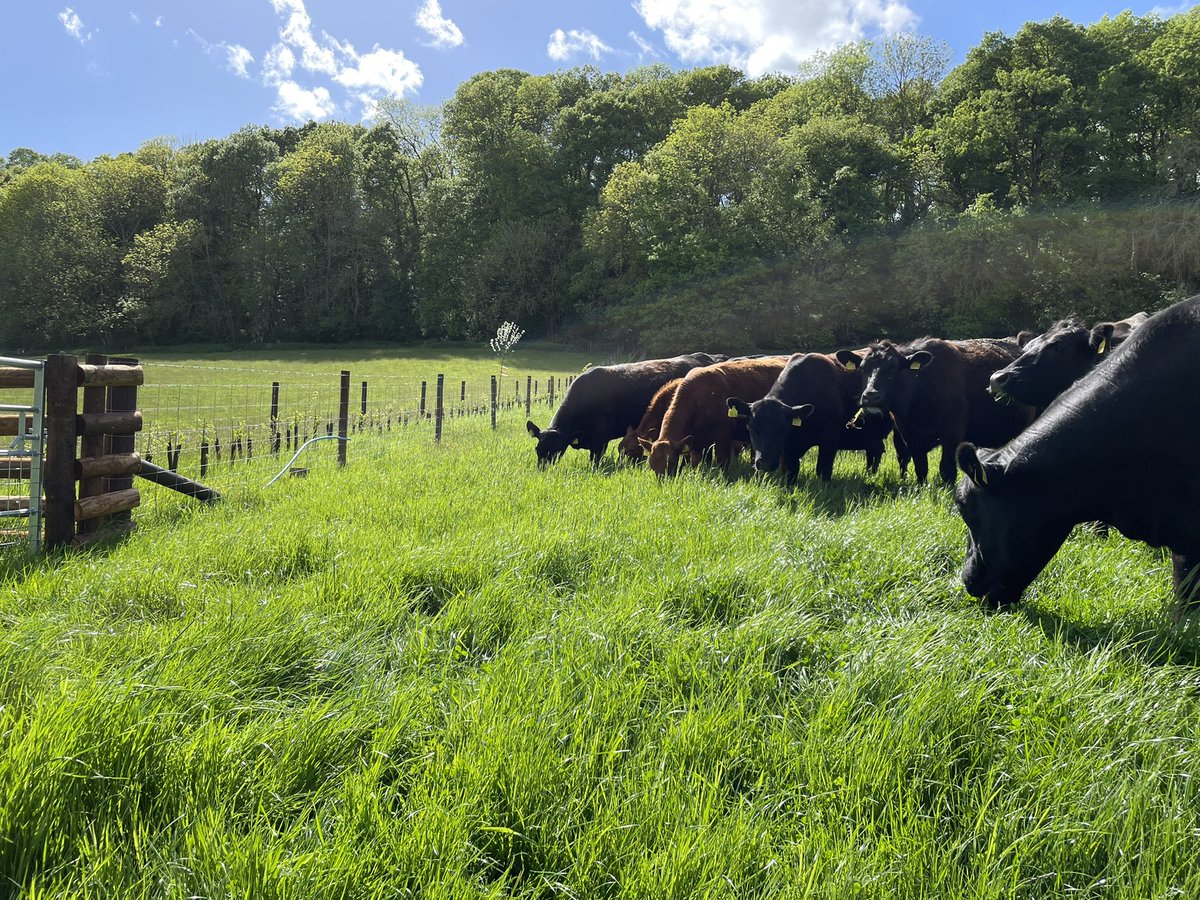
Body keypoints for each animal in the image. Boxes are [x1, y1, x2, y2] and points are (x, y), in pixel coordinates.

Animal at [526, 353, 720, 468]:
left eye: (556, 449)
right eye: (537, 449)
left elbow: (595, 461)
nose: (543, 469)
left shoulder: (600, 439)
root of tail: (701, 356)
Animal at [643, 357, 788, 476]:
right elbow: (697, 462)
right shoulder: (698, 441)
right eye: (652, 466)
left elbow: (722, 461)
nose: (663, 483)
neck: (699, 397)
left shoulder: (723, 434)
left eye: (672, 463)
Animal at [725, 352, 900, 481]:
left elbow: (823, 470)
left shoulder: (829, 440)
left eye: (782, 428)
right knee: (874, 451)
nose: (765, 462)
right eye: (751, 427)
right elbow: (791, 472)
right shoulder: (789, 448)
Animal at [835, 338, 1034, 485]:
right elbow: (921, 469)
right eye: (862, 368)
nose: (870, 396)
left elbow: (946, 470)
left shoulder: (952, 434)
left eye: (893, 369)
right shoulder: (910, 437)